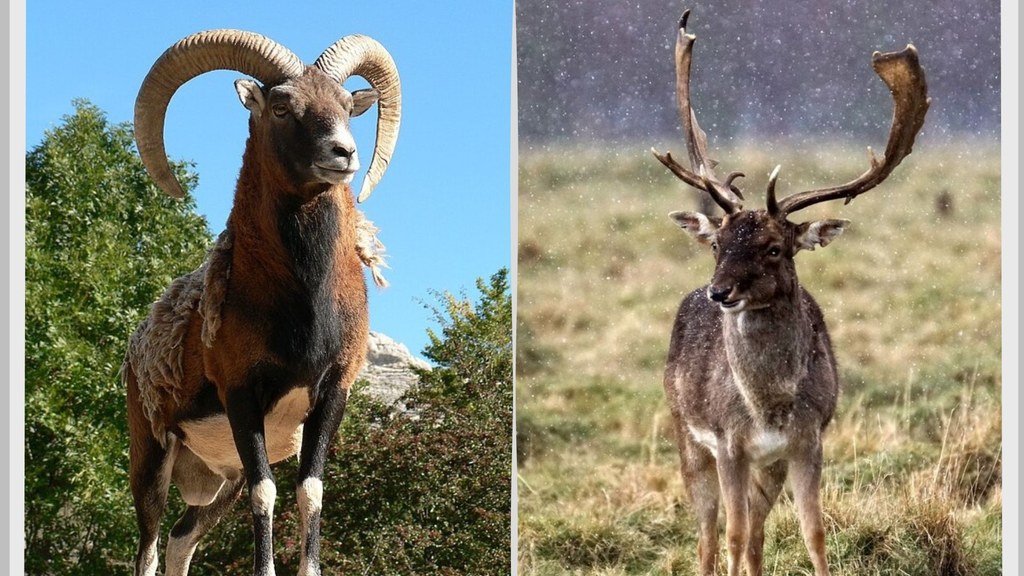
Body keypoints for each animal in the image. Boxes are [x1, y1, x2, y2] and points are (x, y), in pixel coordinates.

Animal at [655, 10, 929, 573]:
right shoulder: (729, 442)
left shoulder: (808, 440)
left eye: (775, 248)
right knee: (708, 533)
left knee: (757, 530)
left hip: (768, 464)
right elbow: (733, 534)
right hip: (685, 433)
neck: (769, 408)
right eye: (717, 244)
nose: (720, 292)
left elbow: (812, 531)